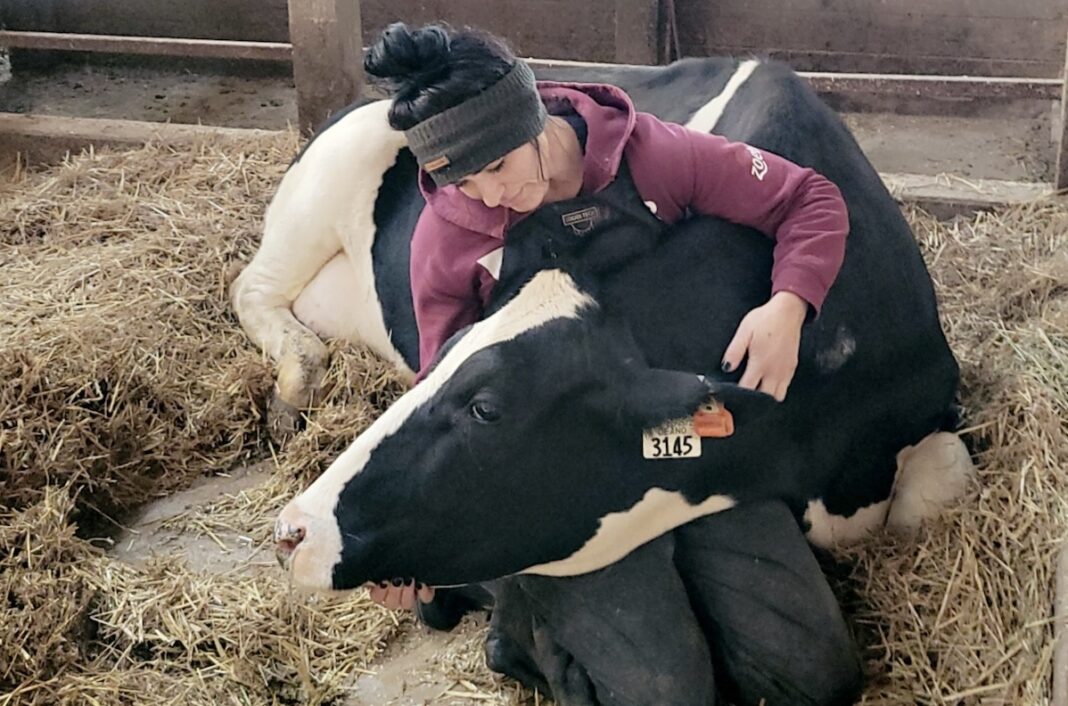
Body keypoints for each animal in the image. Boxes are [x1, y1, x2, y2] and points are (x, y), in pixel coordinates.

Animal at [234, 57, 976, 705]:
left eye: (486, 408)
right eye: (444, 353)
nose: (293, 531)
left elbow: (937, 488)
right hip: (317, 193)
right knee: (251, 286)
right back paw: (297, 380)